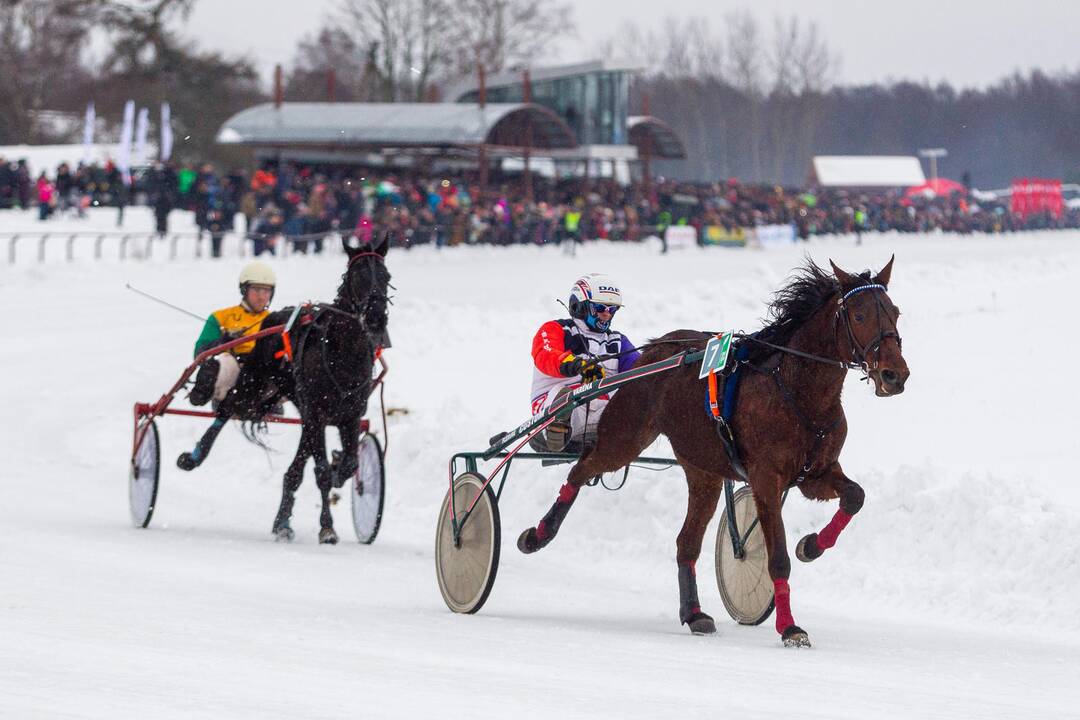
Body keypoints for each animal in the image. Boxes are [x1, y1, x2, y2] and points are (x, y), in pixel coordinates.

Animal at [177, 237, 393, 546]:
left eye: (386, 276)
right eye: (357, 276)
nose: (375, 318)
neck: (342, 354)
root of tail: (273, 318)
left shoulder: (350, 414)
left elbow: (349, 463)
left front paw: (341, 468)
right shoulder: (316, 413)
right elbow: (321, 472)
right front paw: (327, 528)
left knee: (294, 469)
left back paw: (282, 522)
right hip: (254, 384)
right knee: (227, 407)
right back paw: (194, 455)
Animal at [518, 257, 907, 647]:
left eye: (895, 312)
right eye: (859, 315)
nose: (894, 375)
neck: (797, 391)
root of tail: (652, 352)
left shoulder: (816, 473)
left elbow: (854, 497)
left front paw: (810, 545)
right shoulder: (766, 479)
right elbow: (779, 558)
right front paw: (790, 627)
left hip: (702, 471)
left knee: (686, 542)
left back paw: (693, 614)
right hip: (624, 438)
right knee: (580, 470)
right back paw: (538, 534)